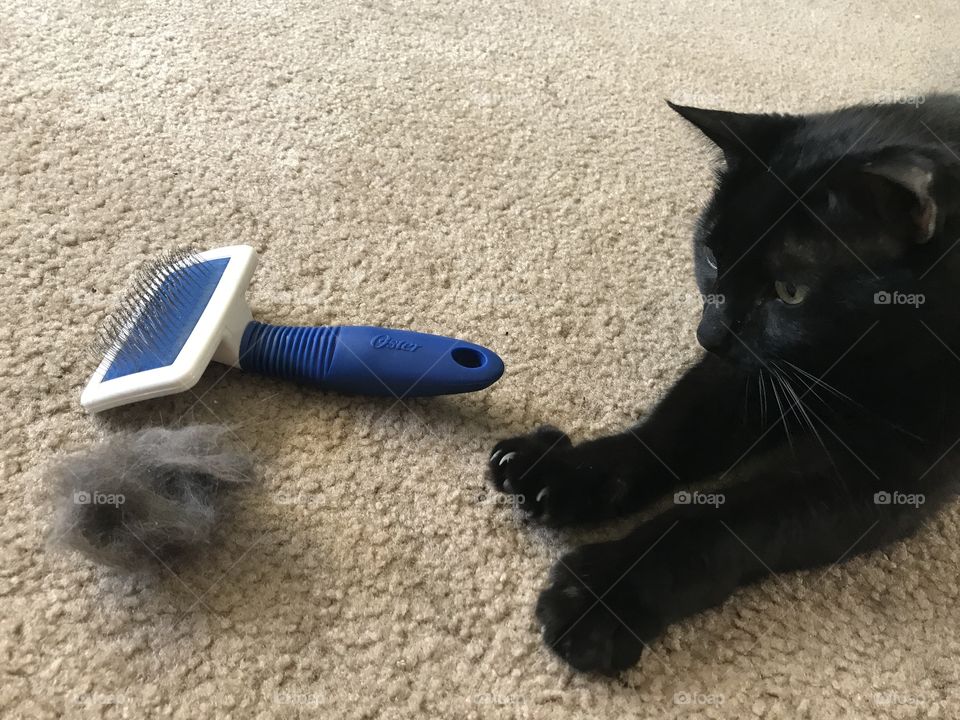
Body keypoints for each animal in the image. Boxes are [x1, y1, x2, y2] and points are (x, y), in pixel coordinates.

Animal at [492, 94, 960, 676]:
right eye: (713, 257)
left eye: (789, 292)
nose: (708, 334)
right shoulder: (748, 378)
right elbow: (666, 435)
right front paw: (561, 470)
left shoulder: (886, 465)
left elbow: (729, 518)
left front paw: (604, 594)